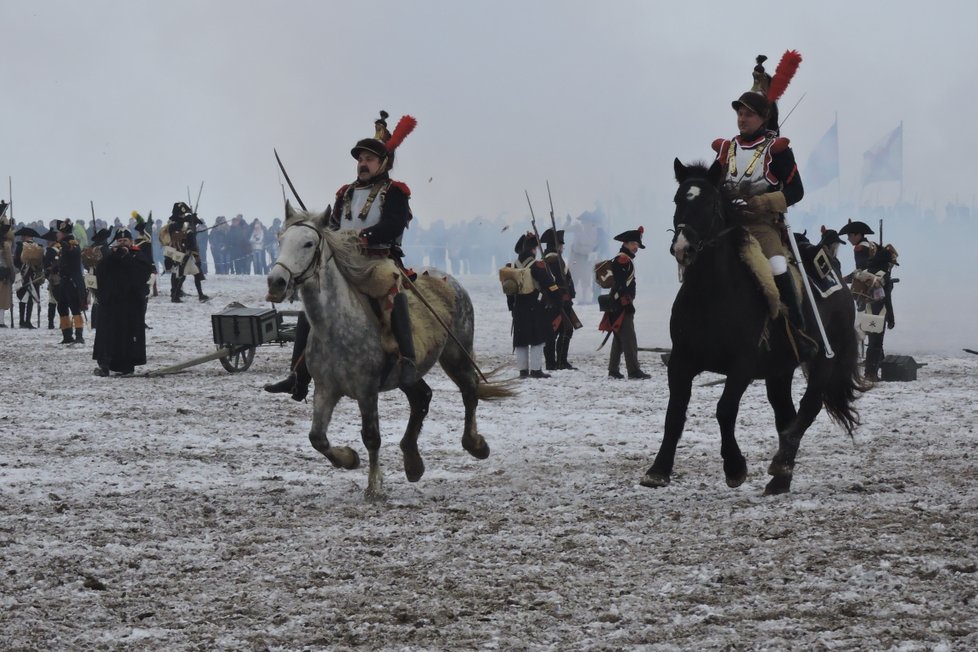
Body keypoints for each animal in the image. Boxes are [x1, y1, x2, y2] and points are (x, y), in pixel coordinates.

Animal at [266, 205, 510, 500]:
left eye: (308, 243)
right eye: (280, 240)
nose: (276, 282)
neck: (336, 325)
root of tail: (449, 280)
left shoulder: (367, 391)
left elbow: (371, 437)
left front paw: (374, 486)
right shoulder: (325, 389)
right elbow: (317, 438)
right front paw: (349, 459)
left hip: (456, 356)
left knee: (469, 392)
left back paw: (474, 444)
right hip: (408, 374)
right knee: (422, 398)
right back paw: (413, 463)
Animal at [644, 162, 864, 494]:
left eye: (710, 203)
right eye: (678, 200)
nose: (682, 247)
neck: (711, 295)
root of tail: (838, 277)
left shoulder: (742, 365)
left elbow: (724, 410)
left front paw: (735, 467)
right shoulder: (681, 361)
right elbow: (675, 413)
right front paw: (658, 470)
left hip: (825, 360)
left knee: (808, 408)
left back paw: (781, 462)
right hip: (779, 371)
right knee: (786, 414)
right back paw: (781, 478)